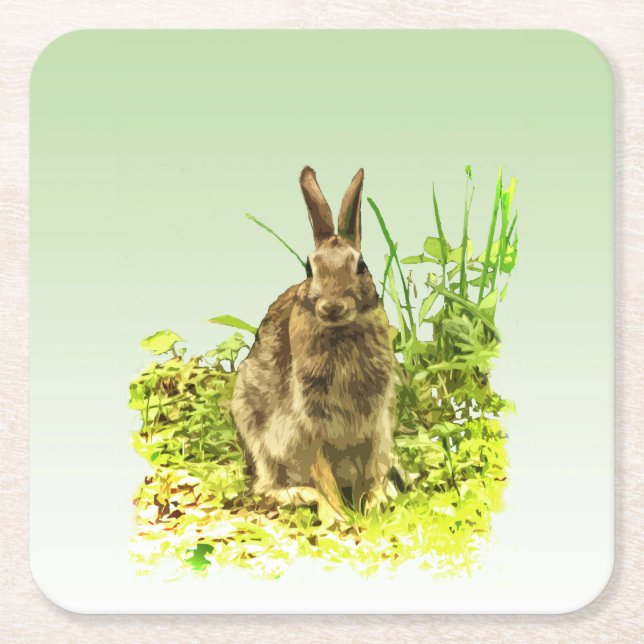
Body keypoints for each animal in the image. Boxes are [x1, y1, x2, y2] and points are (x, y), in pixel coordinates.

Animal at [231, 166, 396, 512]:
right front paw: (339, 515)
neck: (340, 333)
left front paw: (372, 503)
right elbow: (323, 475)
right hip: (255, 432)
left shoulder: (374, 425)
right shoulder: (308, 428)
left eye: (361, 265)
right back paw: (301, 496)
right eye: (309, 268)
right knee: (264, 485)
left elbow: (371, 469)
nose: (332, 307)